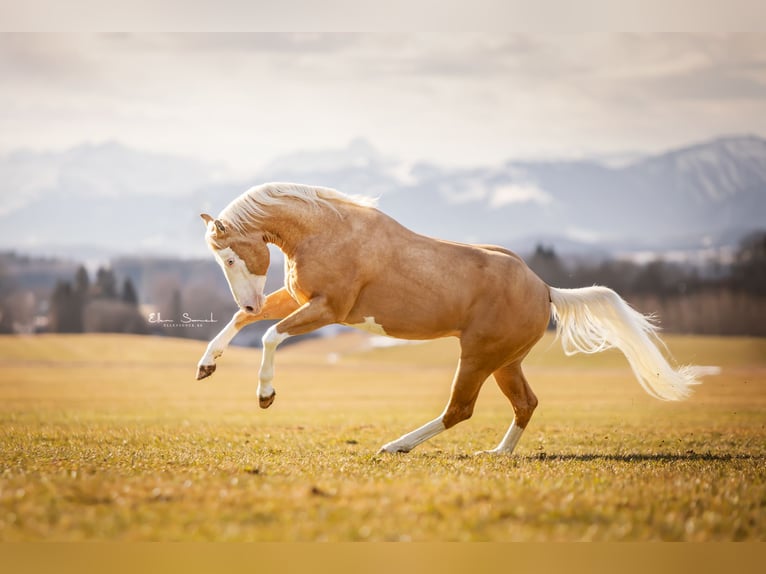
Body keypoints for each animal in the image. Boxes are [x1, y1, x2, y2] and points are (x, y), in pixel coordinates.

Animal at [197, 182, 717, 455]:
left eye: (230, 258)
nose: (250, 301)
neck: (330, 231)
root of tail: (545, 290)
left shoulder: (329, 309)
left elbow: (269, 335)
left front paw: (265, 395)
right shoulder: (297, 298)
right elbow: (242, 324)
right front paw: (206, 366)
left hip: (478, 356)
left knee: (460, 409)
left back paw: (396, 446)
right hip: (506, 362)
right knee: (525, 403)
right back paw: (498, 454)